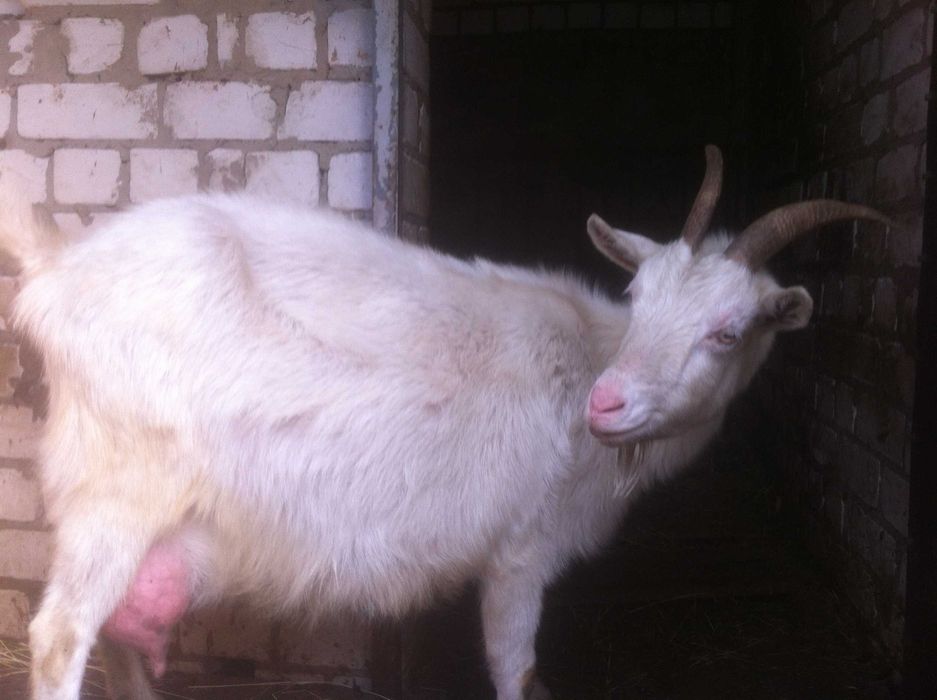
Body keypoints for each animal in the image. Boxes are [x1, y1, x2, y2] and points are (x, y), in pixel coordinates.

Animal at [0, 146, 888, 700]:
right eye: (639, 297)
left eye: (728, 331)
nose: (606, 403)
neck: (583, 352)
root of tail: (58, 270)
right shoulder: (521, 547)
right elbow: (514, 670)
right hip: (117, 491)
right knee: (61, 634)